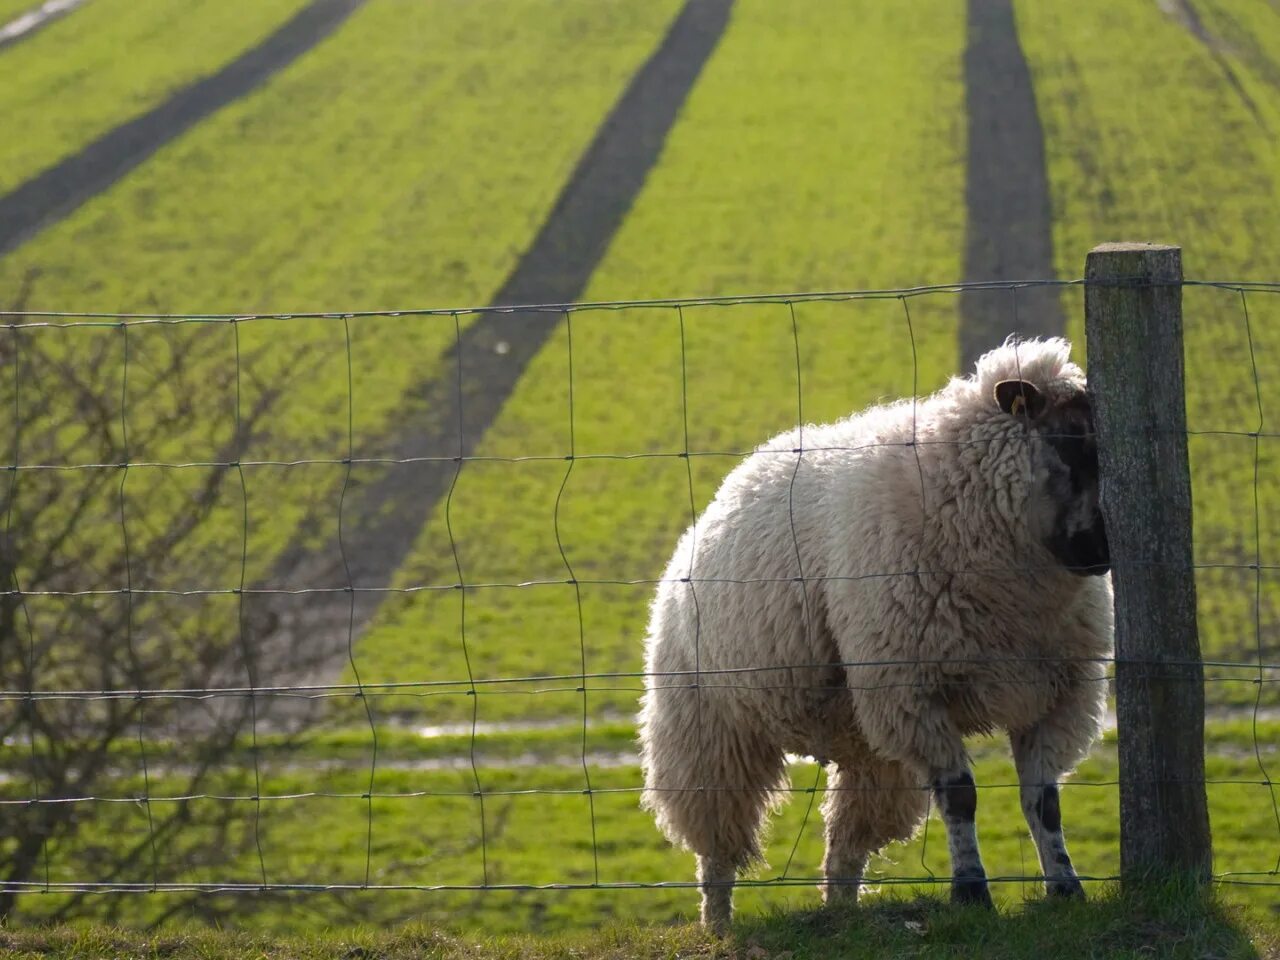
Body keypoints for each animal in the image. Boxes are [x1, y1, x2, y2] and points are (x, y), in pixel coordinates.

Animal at [637, 335, 1111, 931]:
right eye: (1069, 442)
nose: (1104, 552)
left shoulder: (1058, 694)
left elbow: (1043, 802)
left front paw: (1066, 887)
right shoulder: (915, 691)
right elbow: (961, 797)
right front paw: (971, 893)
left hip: (866, 743)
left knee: (846, 844)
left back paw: (841, 910)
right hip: (708, 732)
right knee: (717, 846)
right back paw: (719, 925)